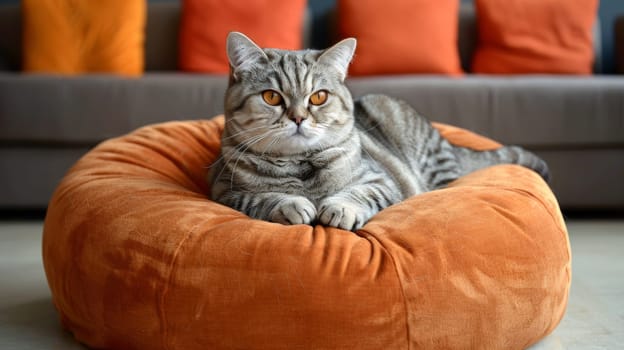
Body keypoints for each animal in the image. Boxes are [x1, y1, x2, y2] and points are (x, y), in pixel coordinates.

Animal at [207, 31, 548, 231]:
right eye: (271, 97)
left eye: (318, 97)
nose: (299, 118)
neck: (300, 165)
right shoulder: (225, 191)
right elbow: (262, 197)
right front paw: (290, 203)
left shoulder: (380, 180)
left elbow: (360, 192)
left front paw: (339, 207)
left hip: (428, 159)